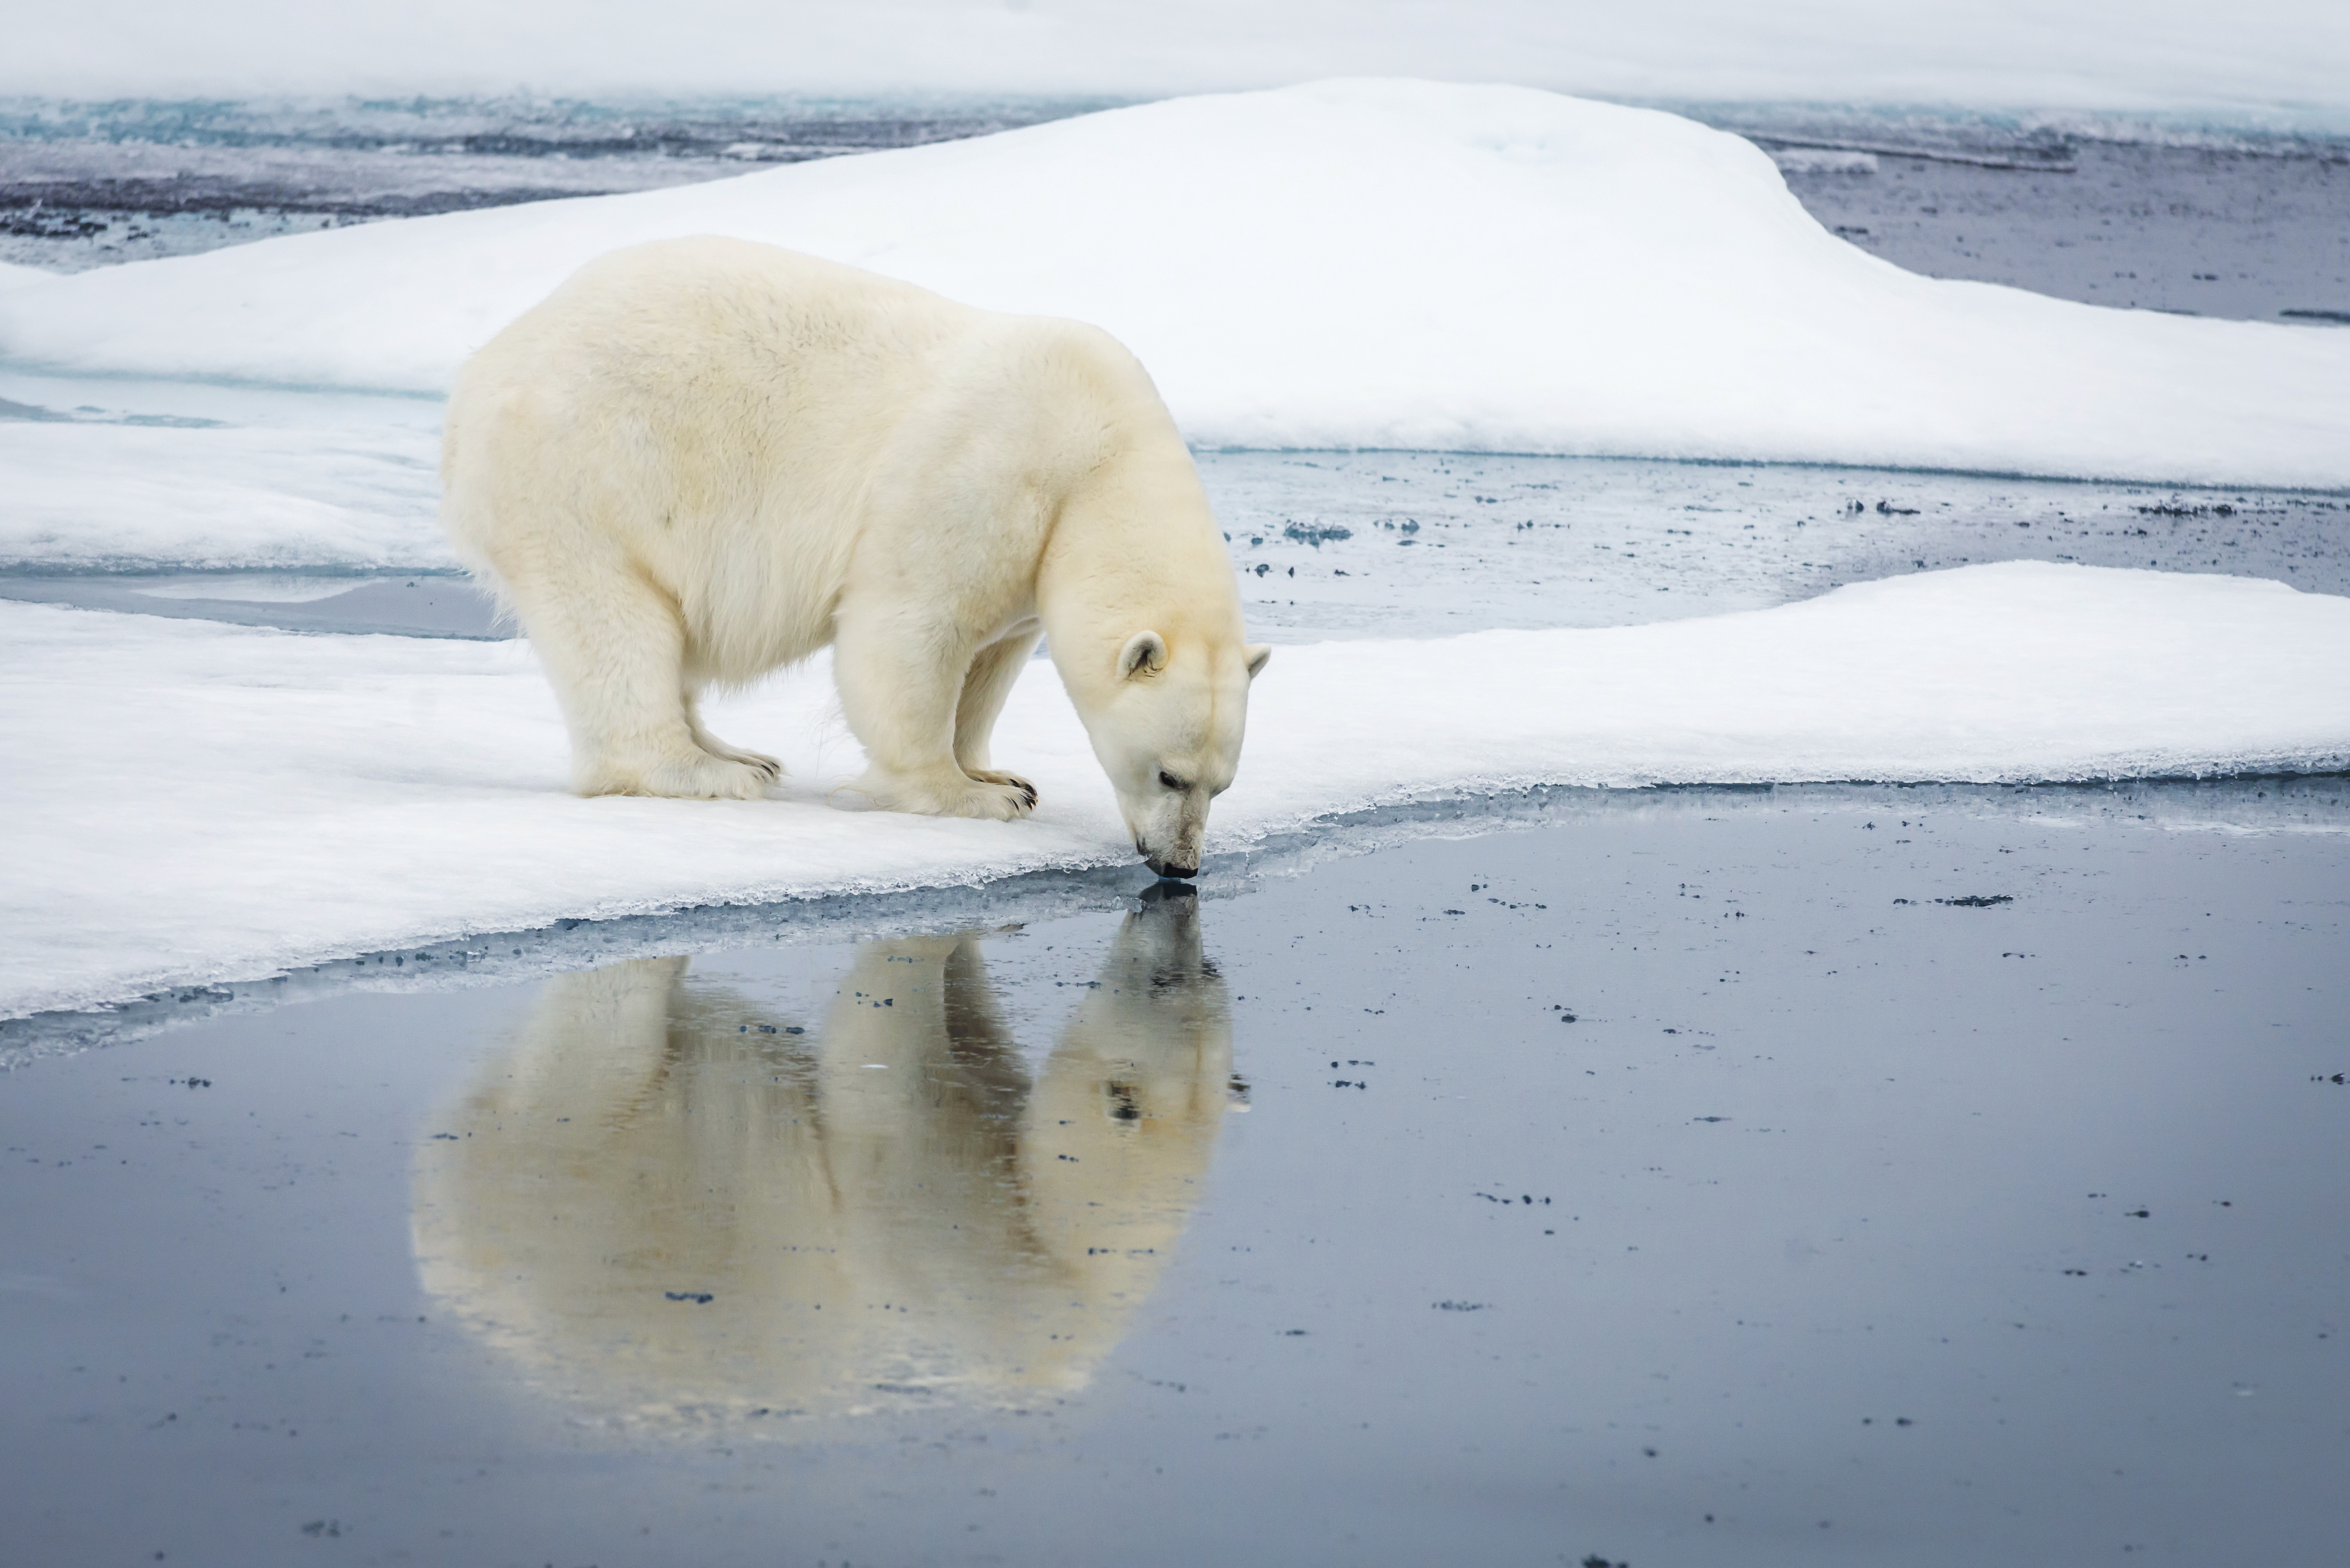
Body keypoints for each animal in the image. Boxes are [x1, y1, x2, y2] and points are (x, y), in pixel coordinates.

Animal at [440, 236, 1269, 878]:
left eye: (1222, 786)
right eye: (1169, 774)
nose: (1180, 866)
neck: (1098, 457)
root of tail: (480, 372)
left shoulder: (1033, 557)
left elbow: (992, 660)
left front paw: (996, 769)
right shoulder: (978, 479)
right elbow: (909, 633)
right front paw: (972, 796)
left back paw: (743, 754)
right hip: (590, 475)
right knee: (616, 625)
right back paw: (707, 773)